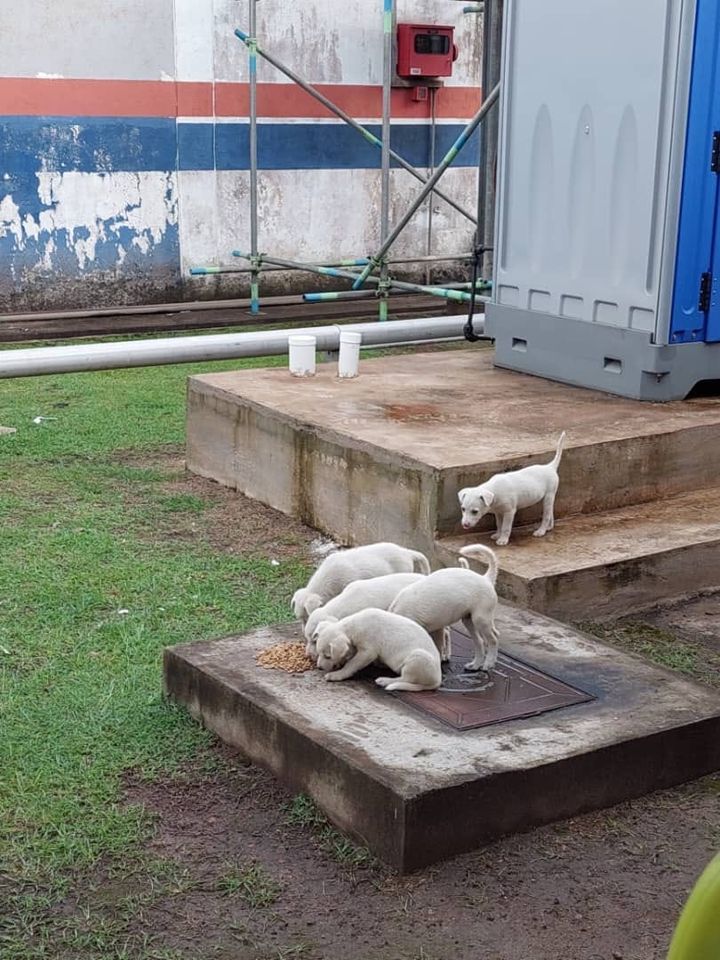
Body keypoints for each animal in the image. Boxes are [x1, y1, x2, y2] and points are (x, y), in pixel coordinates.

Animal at [316, 608, 444, 688]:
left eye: (328, 656)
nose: (319, 667)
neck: (353, 625)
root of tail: (438, 679)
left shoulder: (368, 652)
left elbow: (351, 664)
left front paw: (337, 674)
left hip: (418, 657)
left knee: (406, 678)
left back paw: (385, 681)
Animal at [388, 548, 500, 676]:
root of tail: (485, 578)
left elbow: (438, 647)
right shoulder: (437, 628)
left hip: (480, 618)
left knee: (493, 639)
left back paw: (488, 663)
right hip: (468, 619)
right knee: (481, 641)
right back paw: (475, 665)